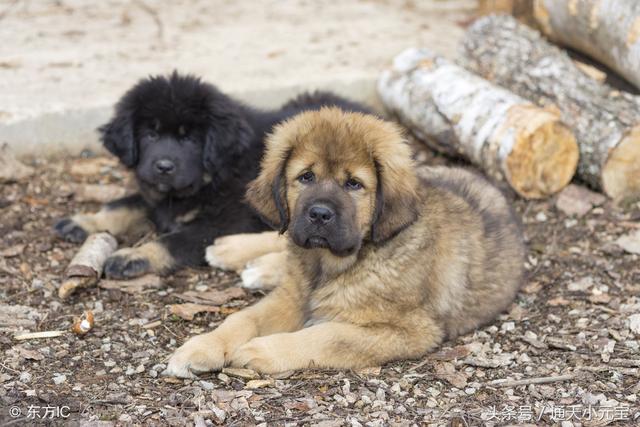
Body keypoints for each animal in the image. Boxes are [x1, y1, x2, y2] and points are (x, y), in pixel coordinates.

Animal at [55, 72, 370, 280]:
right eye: (150, 134)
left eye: (190, 139)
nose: (164, 166)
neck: (213, 176)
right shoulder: (157, 195)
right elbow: (123, 204)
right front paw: (84, 221)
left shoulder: (225, 222)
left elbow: (175, 239)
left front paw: (133, 256)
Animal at [164, 108, 524, 378]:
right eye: (305, 177)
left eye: (354, 184)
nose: (319, 214)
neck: (332, 263)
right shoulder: (292, 297)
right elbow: (241, 319)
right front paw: (201, 347)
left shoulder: (408, 330)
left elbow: (327, 336)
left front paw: (262, 350)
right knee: (281, 242)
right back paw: (233, 249)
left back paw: (257, 267)